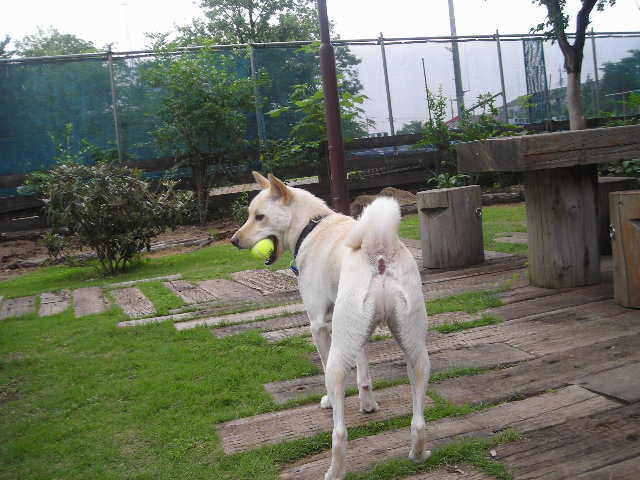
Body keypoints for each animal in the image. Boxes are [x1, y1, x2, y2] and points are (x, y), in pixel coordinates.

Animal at [231, 172, 431, 480]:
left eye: (259, 216)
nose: (233, 240)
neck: (311, 226)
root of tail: (378, 250)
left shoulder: (320, 326)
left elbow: (324, 367)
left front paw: (330, 400)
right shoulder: (356, 333)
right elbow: (363, 373)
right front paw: (368, 404)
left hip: (340, 356)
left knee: (339, 431)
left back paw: (335, 470)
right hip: (415, 350)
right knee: (419, 419)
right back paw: (418, 453)